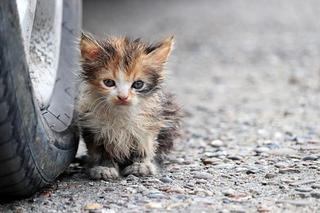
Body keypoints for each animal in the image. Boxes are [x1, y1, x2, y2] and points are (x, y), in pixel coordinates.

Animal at [75, 33, 180, 180]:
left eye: (138, 84)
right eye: (108, 82)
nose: (123, 97)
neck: (121, 113)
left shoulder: (149, 123)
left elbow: (145, 146)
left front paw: (141, 166)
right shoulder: (93, 127)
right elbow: (101, 151)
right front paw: (105, 167)